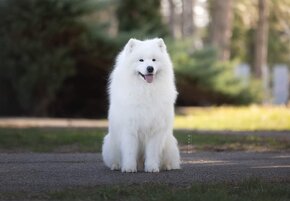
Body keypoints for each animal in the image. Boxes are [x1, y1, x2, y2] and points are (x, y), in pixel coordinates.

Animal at [101, 38, 179, 173]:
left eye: (154, 60)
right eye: (141, 60)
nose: (150, 68)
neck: (145, 90)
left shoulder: (155, 129)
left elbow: (152, 152)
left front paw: (152, 167)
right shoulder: (129, 129)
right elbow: (129, 151)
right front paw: (129, 167)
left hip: (169, 144)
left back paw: (166, 166)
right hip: (110, 144)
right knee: (115, 159)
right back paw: (116, 166)